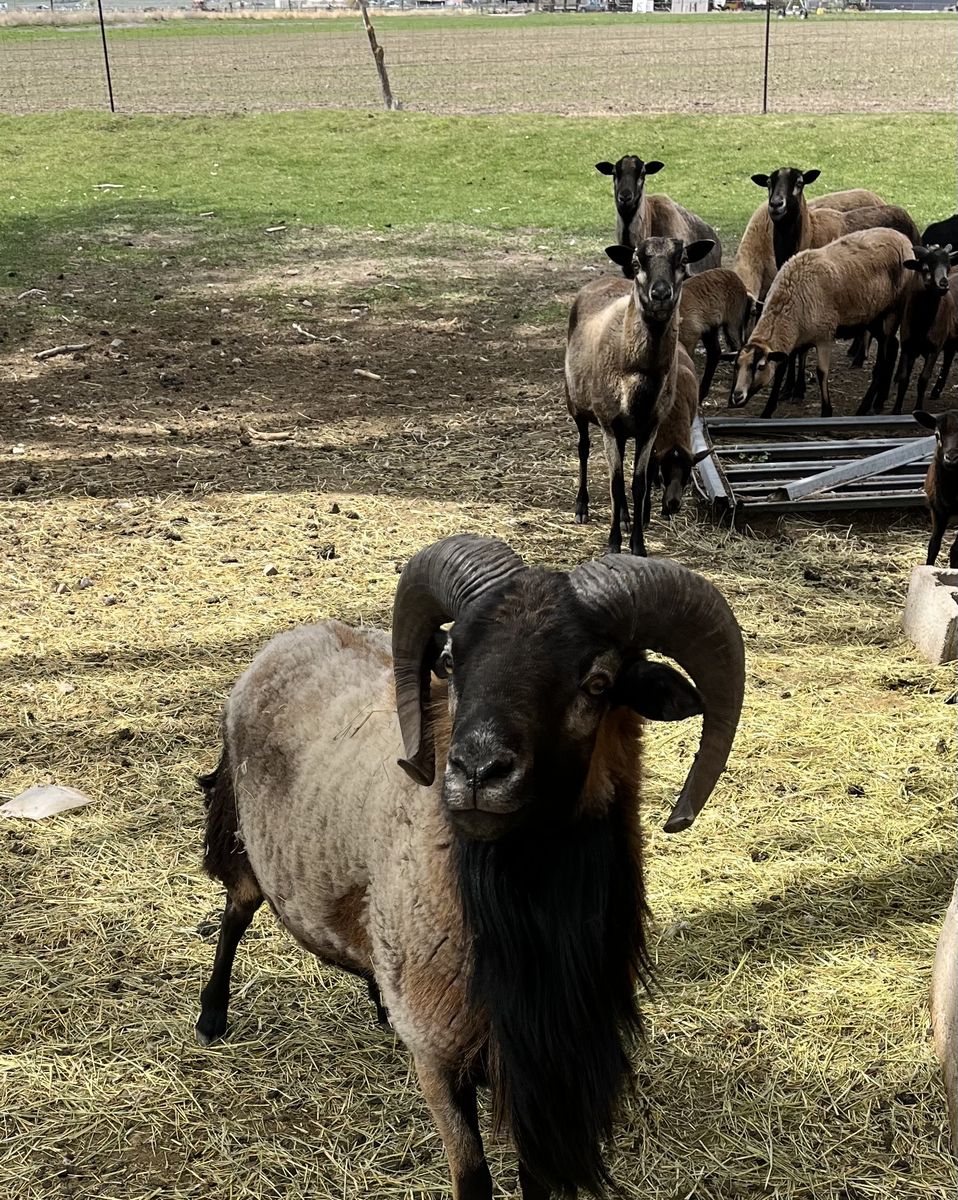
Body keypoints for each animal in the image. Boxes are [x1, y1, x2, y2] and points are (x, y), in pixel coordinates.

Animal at [196, 533, 746, 1200]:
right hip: (245, 844)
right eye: (453, 661)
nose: (477, 771)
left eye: (598, 681)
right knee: (234, 914)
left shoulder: (542, 1072)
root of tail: (291, 637)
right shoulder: (440, 1059)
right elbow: (473, 1177)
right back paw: (212, 1014)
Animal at [565, 235, 715, 555]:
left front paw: (637, 546)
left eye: (683, 260)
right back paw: (582, 507)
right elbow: (615, 483)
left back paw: (623, 516)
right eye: (636, 263)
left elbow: (638, 484)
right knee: (583, 449)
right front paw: (613, 545)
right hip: (577, 405)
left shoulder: (650, 428)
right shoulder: (609, 425)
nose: (660, 293)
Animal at [677, 267, 757, 401]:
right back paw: (702, 394)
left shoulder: (689, 337)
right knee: (715, 352)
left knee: (739, 348)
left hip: (733, 323)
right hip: (710, 329)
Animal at [729, 227, 913, 420]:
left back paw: (864, 408)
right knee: (893, 348)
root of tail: (903, 238)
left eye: (760, 366)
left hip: (893, 311)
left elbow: (821, 372)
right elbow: (782, 370)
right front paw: (768, 410)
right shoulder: (798, 337)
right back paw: (878, 402)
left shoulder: (825, 336)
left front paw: (826, 410)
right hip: (873, 317)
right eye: (736, 366)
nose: (737, 396)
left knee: (883, 360)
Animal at [889, 245, 958, 414]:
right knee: (948, 359)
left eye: (948, 267)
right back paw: (936, 392)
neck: (922, 324)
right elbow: (904, 378)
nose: (943, 284)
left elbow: (923, 379)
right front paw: (896, 410)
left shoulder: (935, 348)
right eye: (926, 268)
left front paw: (918, 408)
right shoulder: (908, 346)